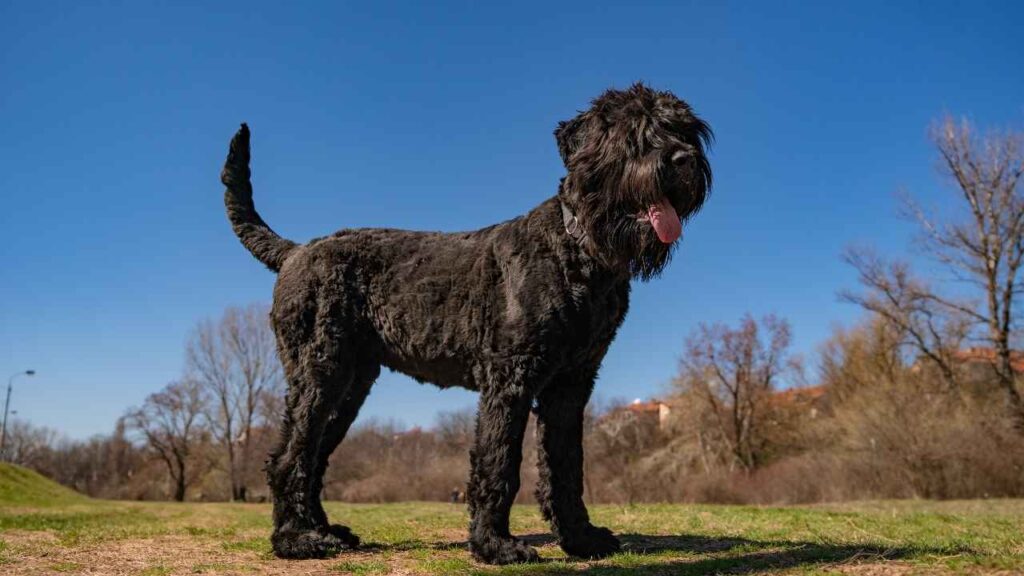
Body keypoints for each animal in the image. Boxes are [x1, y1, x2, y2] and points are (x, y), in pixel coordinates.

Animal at [219, 83, 708, 561]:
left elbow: (567, 465)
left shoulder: (571, 384)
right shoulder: (510, 378)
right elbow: (499, 463)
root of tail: (295, 251)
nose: (684, 159)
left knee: (315, 456)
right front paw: (495, 545)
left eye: (686, 129)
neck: (577, 249)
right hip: (321, 373)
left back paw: (325, 530)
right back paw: (296, 540)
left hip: (350, 384)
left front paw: (581, 538)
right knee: (288, 457)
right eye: (634, 133)